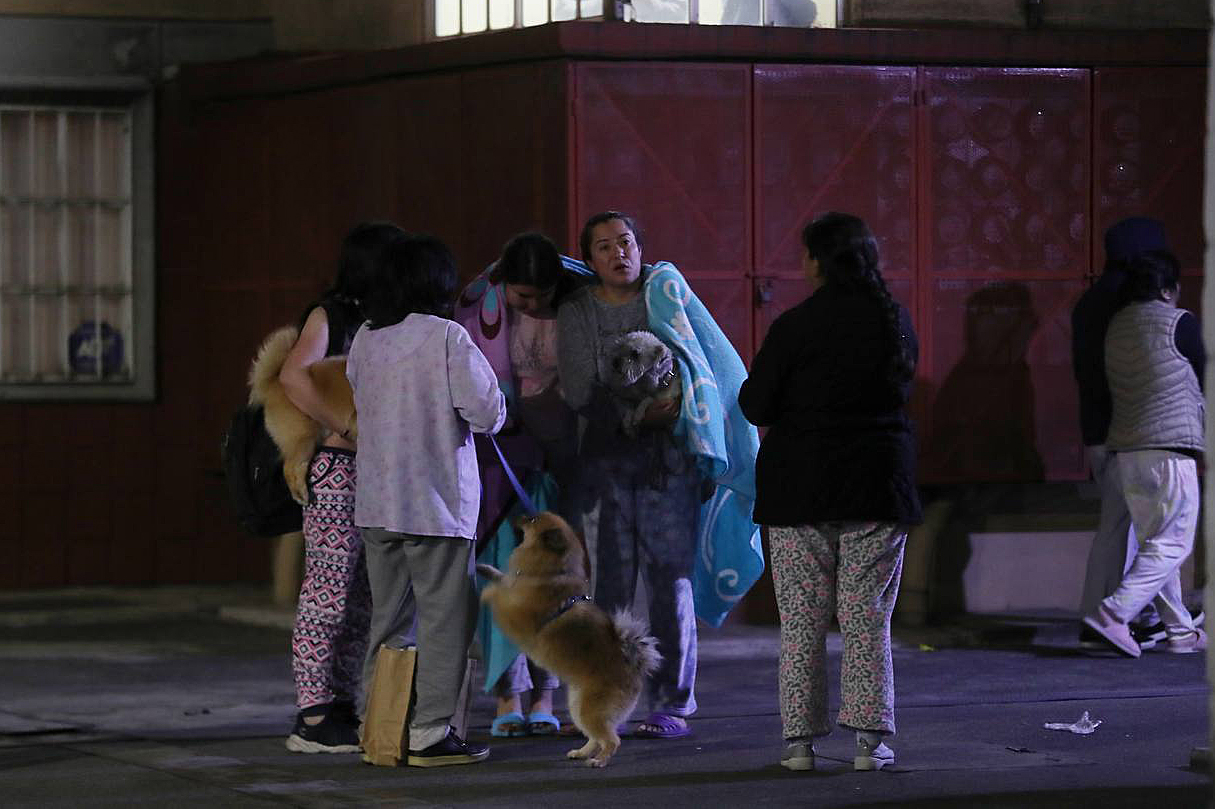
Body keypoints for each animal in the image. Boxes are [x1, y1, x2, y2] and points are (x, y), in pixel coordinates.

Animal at [476, 512, 665, 767]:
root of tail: (633, 666)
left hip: (590, 710)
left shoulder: (515, 615)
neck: (549, 573)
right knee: (595, 737)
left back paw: (599, 761)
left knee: (611, 740)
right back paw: (582, 752)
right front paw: (484, 569)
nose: (518, 514)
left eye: (533, 520)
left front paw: (485, 591)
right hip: (579, 706)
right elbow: (502, 579)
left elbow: (499, 594)